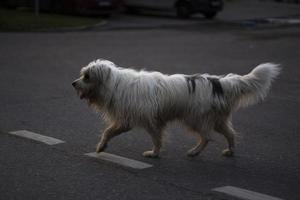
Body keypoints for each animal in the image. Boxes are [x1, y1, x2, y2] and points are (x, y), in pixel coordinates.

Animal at [71, 59, 280, 158]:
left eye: (87, 76)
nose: (73, 83)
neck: (113, 85)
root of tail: (219, 83)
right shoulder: (129, 120)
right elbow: (108, 132)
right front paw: (101, 146)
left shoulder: (148, 121)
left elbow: (156, 139)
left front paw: (154, 153)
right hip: (217, 119)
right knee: (230, 134)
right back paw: (230, 151)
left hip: (196, 119)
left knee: (207, 137)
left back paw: (194, 152)